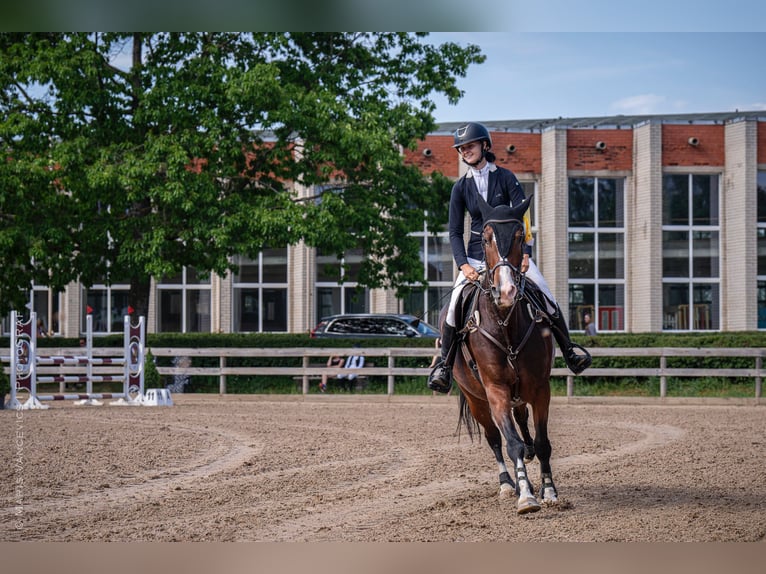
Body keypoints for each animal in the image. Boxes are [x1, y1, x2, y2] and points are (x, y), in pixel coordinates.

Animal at [450, 196, 560, 516]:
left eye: (519, 236)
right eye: (486, 239)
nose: (507, 291)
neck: (505, 323)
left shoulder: (540, 388)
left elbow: (542, 441)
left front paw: (549, 490)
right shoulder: (495, 390)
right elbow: (511, 444)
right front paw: (526, 496)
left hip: (520, 393)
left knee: (523, 423)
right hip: (476, 400)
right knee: (495, 439)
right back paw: (507, 484)